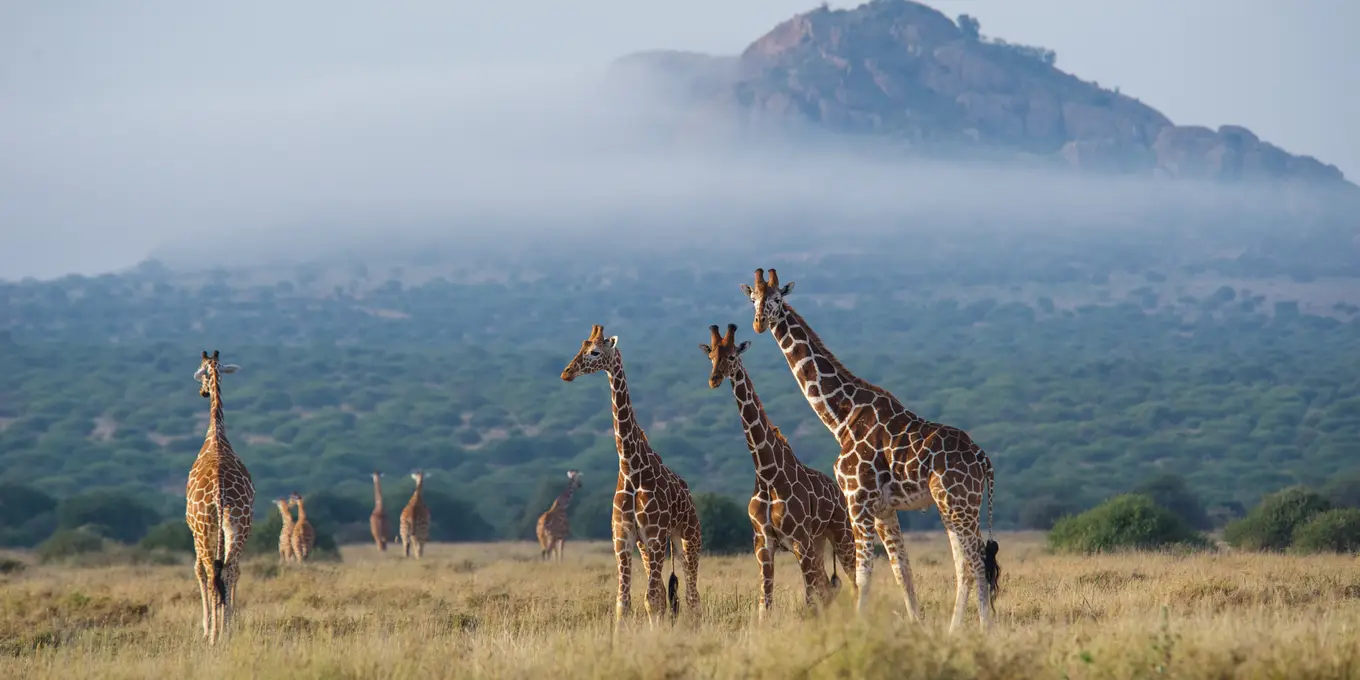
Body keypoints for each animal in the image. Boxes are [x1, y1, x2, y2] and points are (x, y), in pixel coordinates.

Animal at [563, 323, 707, 631]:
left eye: (595, 352)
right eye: (580, 347)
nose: (566, 372)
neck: (631, 469)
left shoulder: (655, 536)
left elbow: (651, 600)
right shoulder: (623, 539)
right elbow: (625, 602)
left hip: (688, 538)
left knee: (692, 595)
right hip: (650, 547)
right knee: (669, 593)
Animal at [701, 322, 859, 617]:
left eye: (732, 356)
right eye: (711, 356)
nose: (714, 379)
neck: (766, 473)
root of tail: (839, 493)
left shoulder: (799, 540)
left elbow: (809, 599)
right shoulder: (763, 543)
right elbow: (766, 603)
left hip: (841, 535)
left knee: (852, 582)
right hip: (818, 542)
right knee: (827, 587)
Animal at [745, 266, 1000, 631]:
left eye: (778, 299)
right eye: (753, 298)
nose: (758, 323)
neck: (841, 417)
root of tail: (983, 458)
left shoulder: (857, 499)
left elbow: (863, 574)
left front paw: (859, 628)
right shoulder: (883, 509)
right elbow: (901, 571)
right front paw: (917, 626)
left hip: (959, 504)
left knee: (976, 561)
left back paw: (984, 629)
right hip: (955, 506)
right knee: (964, 565)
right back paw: (954, 631)